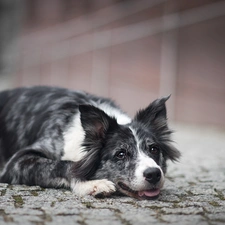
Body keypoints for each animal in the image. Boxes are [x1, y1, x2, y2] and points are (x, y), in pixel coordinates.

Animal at [0, 85, 179, 199]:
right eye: (121, 154)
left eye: (154, 149)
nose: (153, 174)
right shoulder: (16, 163)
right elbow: (64, 164)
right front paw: (92, 184)